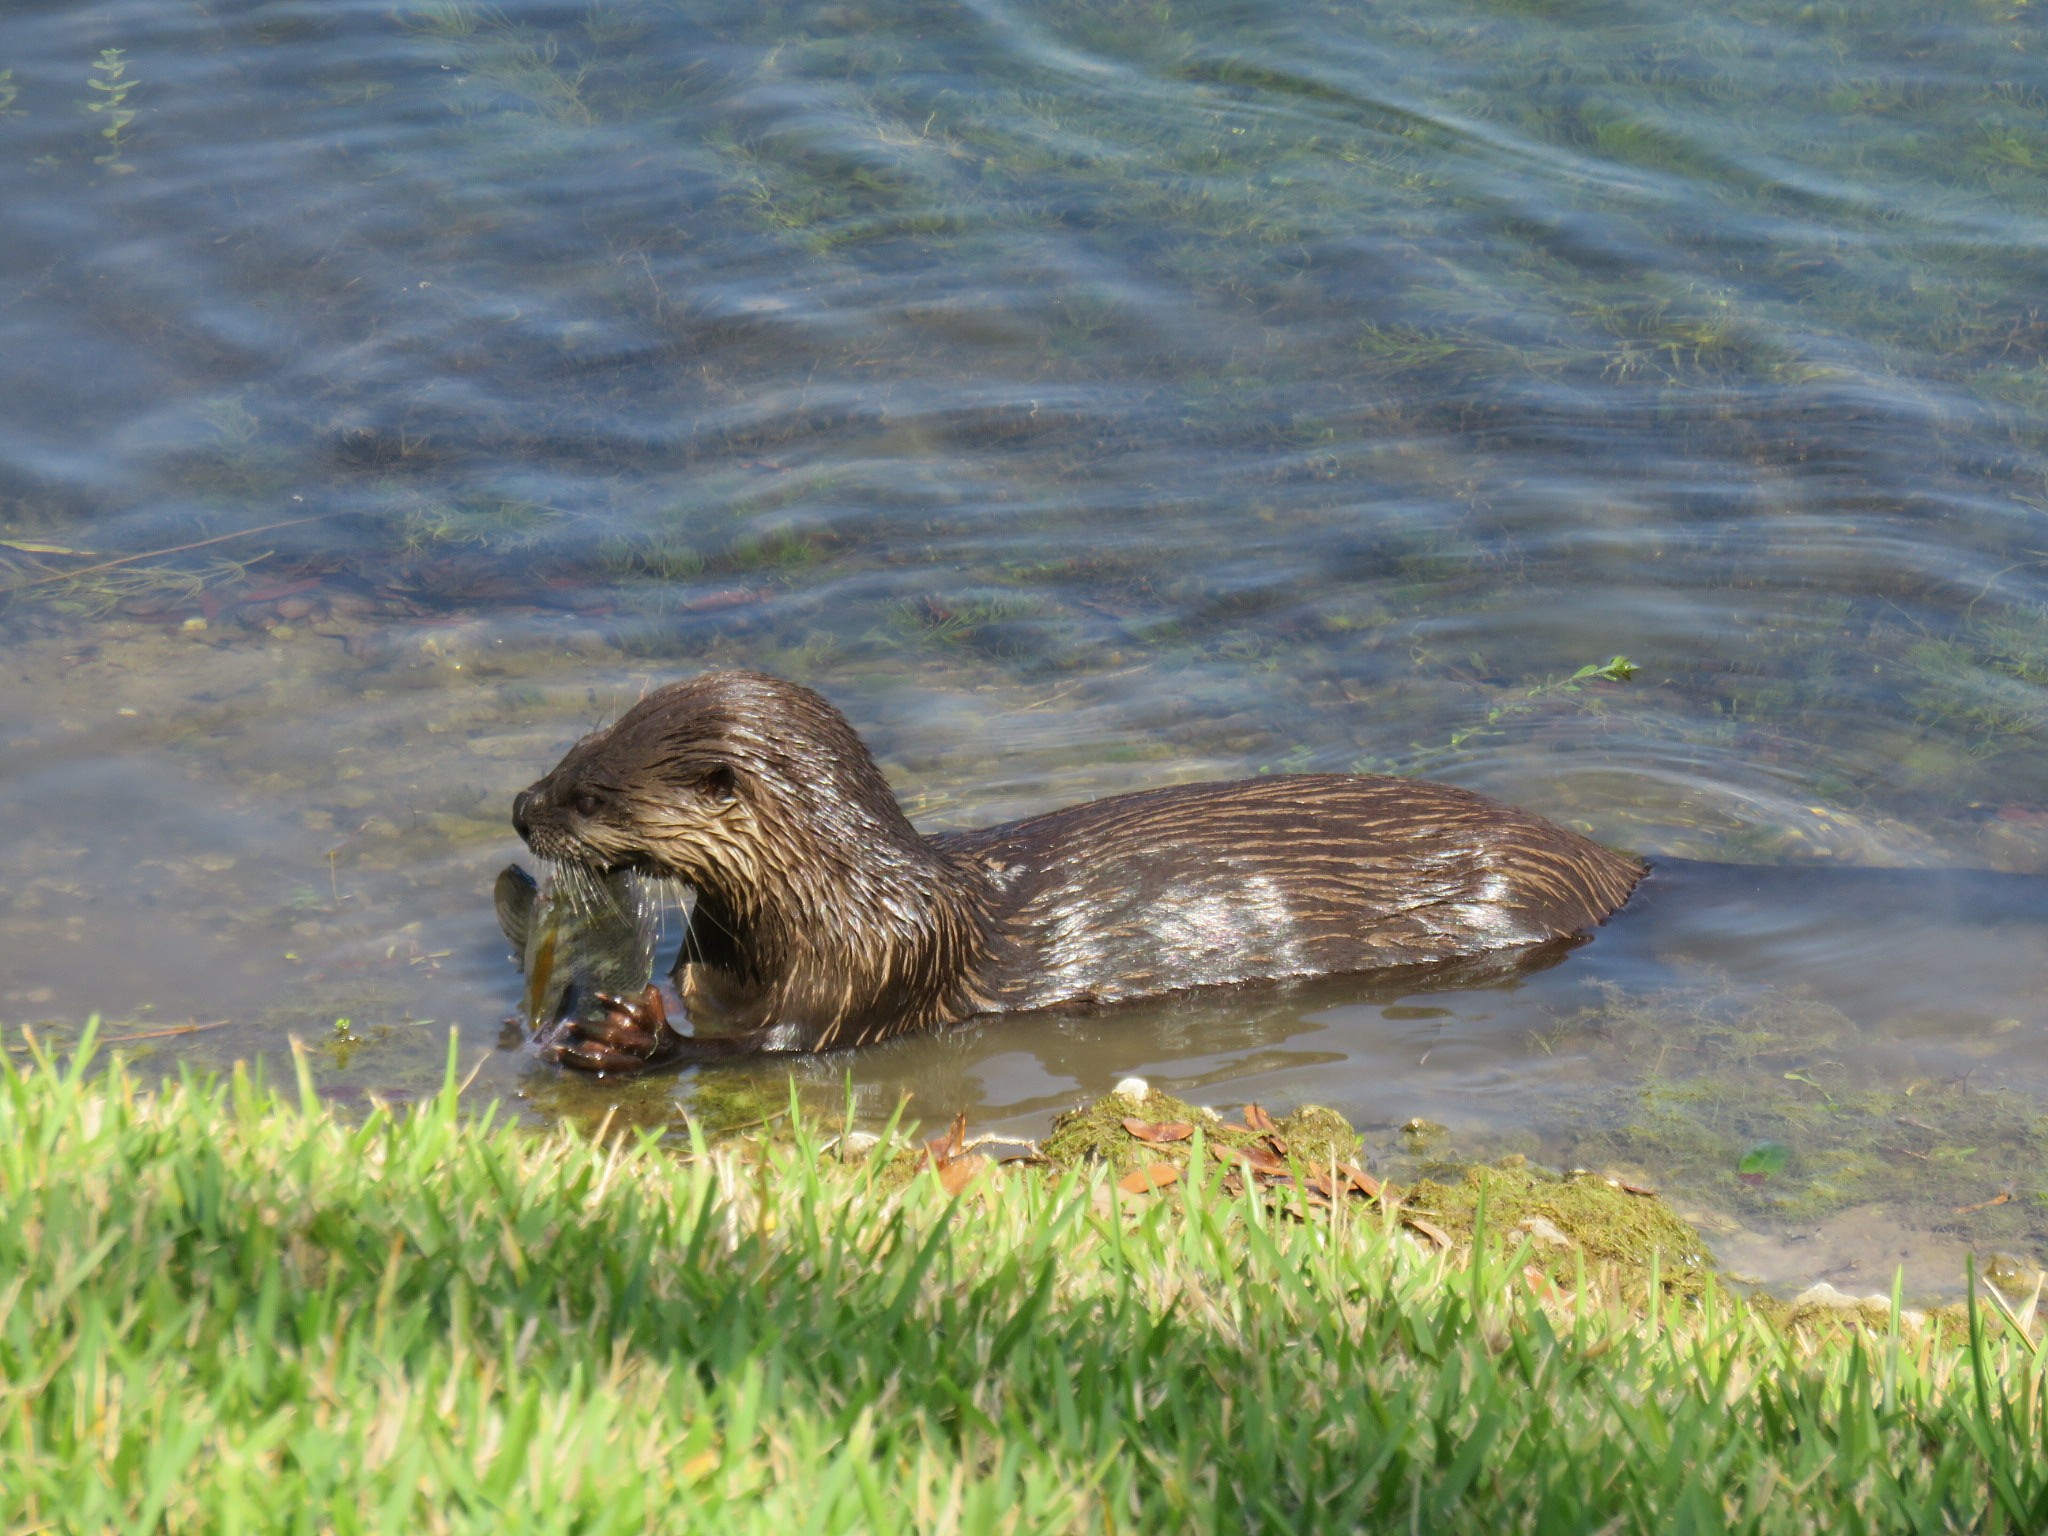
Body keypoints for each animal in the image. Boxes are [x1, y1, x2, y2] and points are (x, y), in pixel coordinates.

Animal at [508, 669, 1643, 1074]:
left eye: (595, 795)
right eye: (574, 749)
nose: (520, 808)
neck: (838, 898)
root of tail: (1619, 862)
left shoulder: (871, 972)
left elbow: (767, 1048)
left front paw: (627, 1036)